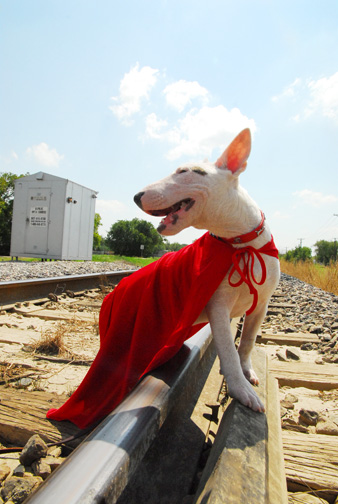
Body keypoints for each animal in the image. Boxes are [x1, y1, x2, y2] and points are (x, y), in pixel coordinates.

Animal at [135, 128, 280, 412]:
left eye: (185, 171)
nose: (136, 196)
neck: (239, 244)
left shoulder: (262, 305)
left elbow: (247, 341)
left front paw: (248, 374)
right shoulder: (218, 304)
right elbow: (227, 347)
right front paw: (241, 390)